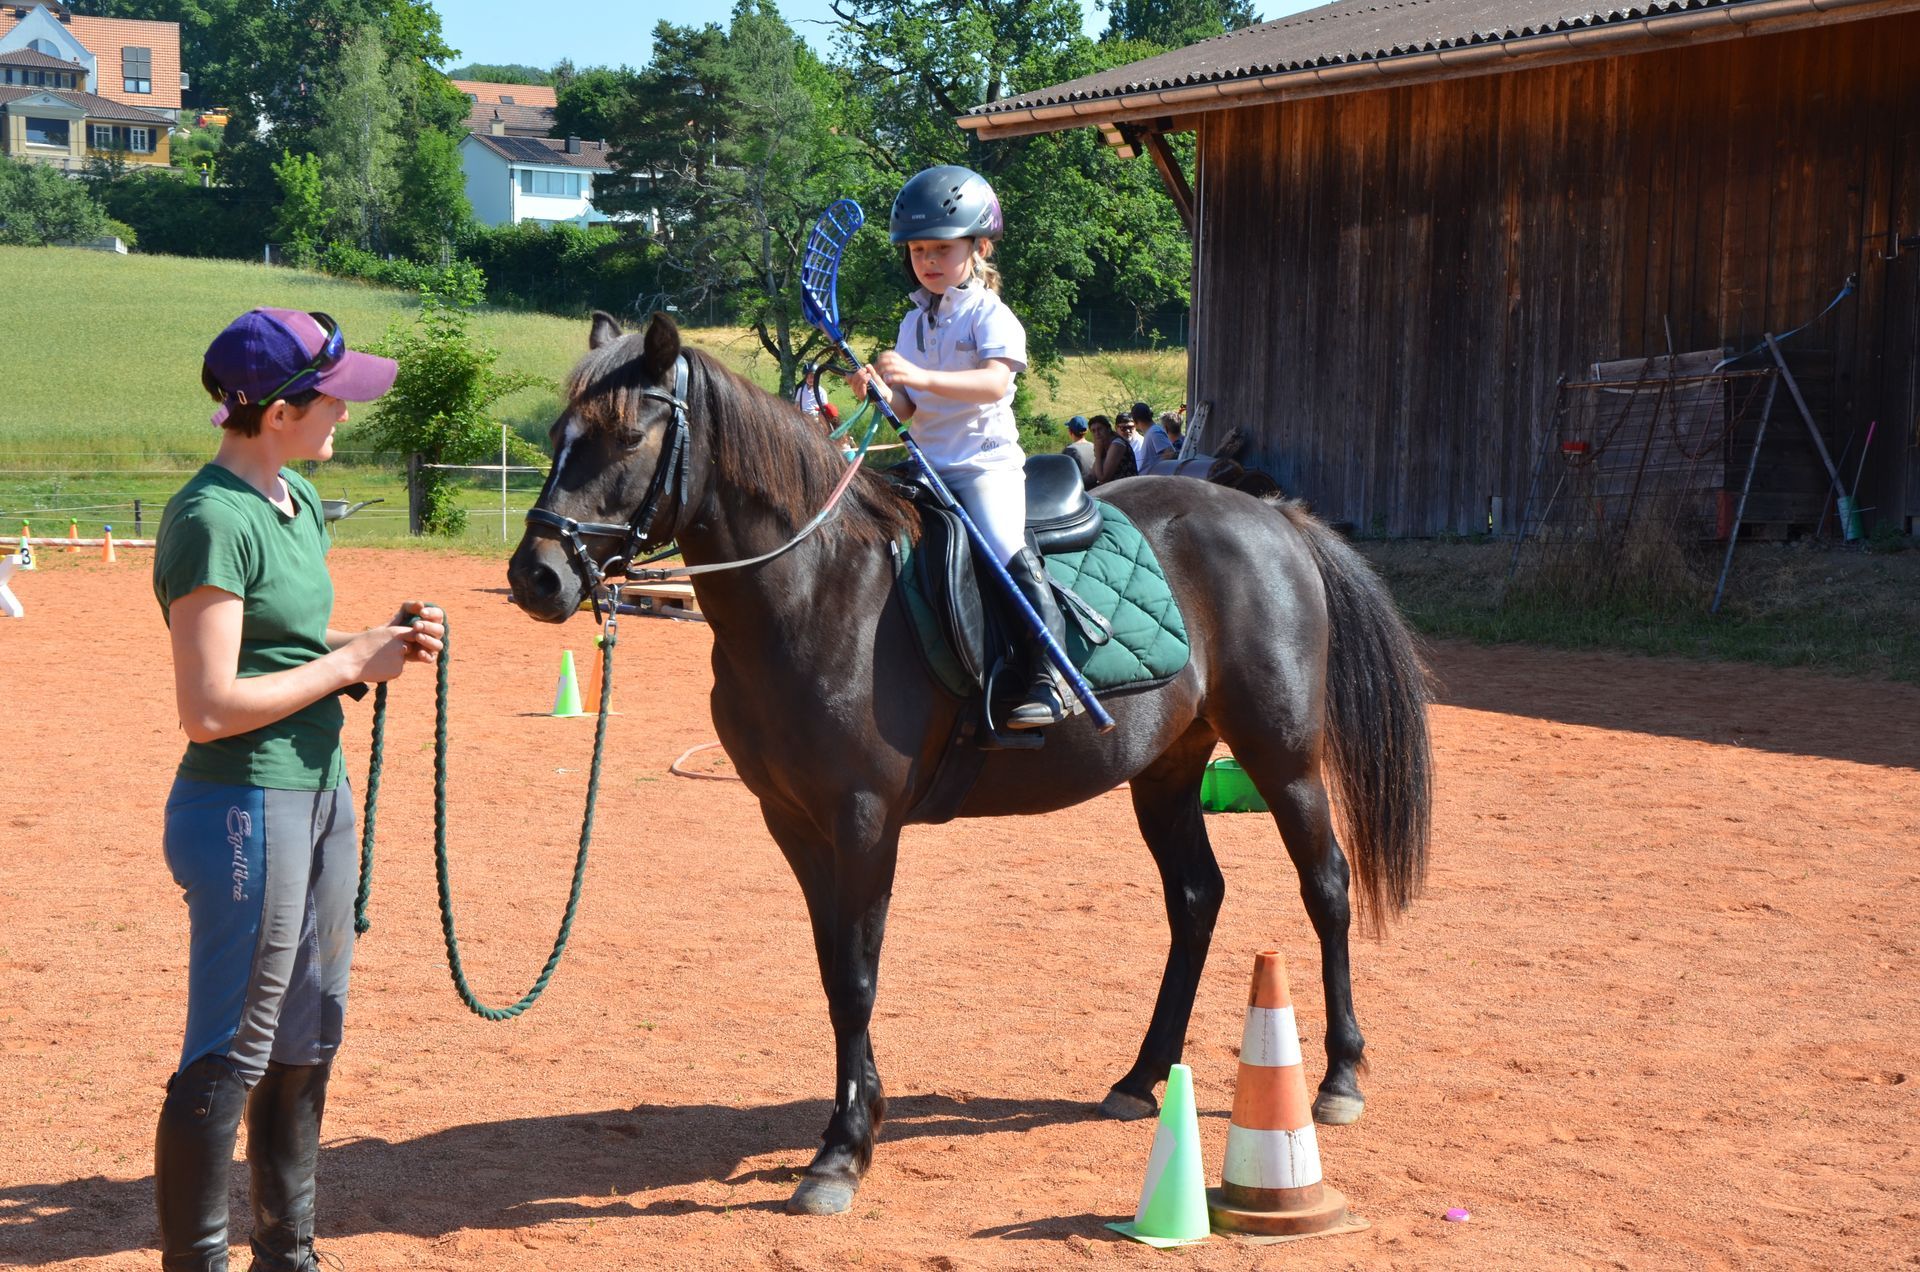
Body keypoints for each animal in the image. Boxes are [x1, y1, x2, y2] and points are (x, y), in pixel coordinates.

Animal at [507, 312, 1433, 1216]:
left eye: (625, 437)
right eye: (558, 435)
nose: (536, 576)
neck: (816, 589)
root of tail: (1273, 517)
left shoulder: (863, 821)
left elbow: (857, 975)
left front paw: (842, 1153)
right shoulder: (794, 822)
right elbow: (832, 971)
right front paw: (855, 1119)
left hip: (1284, 756)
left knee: (1327, 887)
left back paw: (1340, 1077)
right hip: (1168, 767)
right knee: (1196, 898)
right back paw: (1141, 1077)